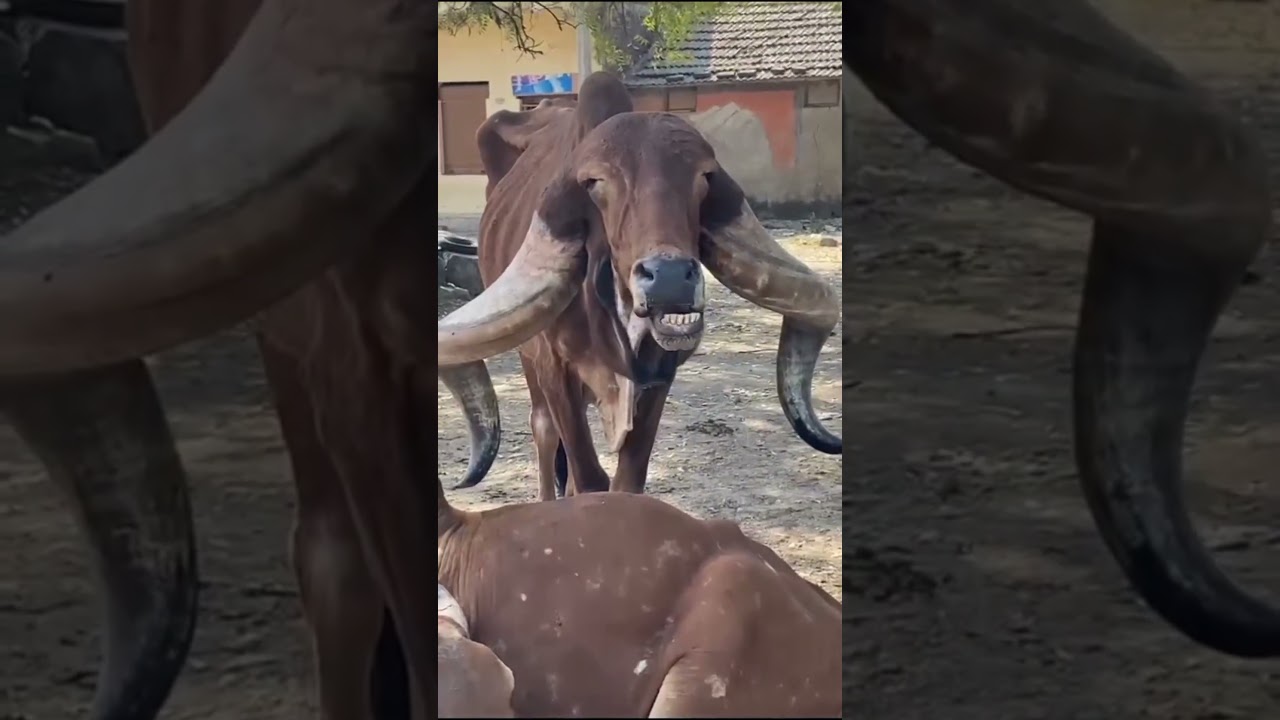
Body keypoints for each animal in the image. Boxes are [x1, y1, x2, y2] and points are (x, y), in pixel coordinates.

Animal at [459, 72, 843, 502]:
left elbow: (625, 482)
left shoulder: (659, 376)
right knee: (542, 430)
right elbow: (587, 476)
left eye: (705, 176)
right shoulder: (553, 369)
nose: (670, 279)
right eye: (594, 181)